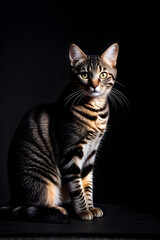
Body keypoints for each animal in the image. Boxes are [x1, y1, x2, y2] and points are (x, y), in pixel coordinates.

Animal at [2, 42, 119, 223]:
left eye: (103, 74)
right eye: (84, 75)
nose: (94, 85)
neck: (95, 110)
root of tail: (12, 201)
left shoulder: (90, 154)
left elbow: (87, 184)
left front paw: (91, 208)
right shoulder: (71, 153)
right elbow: (77, 188)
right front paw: (83, 211)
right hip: (42, 179)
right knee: (36, 204)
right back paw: (58, 209)